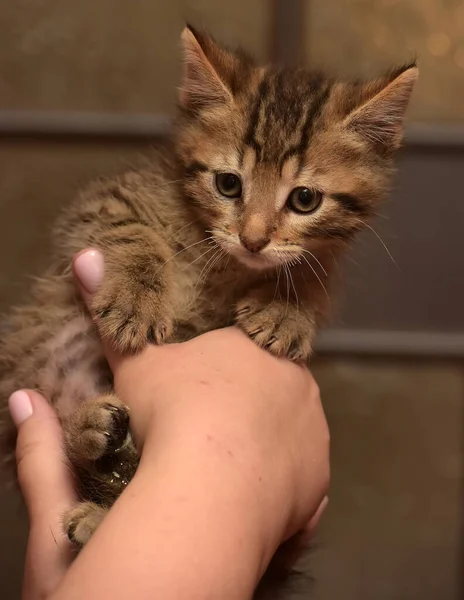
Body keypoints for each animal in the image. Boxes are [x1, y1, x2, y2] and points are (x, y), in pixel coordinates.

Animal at [0, 22, 416, 592]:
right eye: (227, 184)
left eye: (305, 199)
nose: (254, 238)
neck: (227, 266)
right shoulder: (102, 204)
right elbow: (130, 233)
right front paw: (135, 299)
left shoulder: (317, 260)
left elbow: (310, 277)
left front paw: (287, 309)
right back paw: (93, 442)